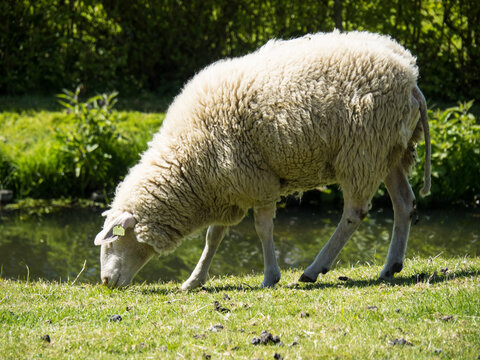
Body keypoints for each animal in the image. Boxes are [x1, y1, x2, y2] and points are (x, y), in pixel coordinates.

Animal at [94, 31, 432, 290]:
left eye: (112, 241)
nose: (106, 282)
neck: (188, 162)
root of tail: (411, 77)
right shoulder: (225, 185)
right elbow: (213, 237)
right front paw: (195, 280)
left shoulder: (257, 181)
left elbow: (262, 229)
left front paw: (270, 276)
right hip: (390, 150)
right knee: (404, 203)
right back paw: (390, 266)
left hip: (362, 150)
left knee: (354, 213)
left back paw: (314, 269)